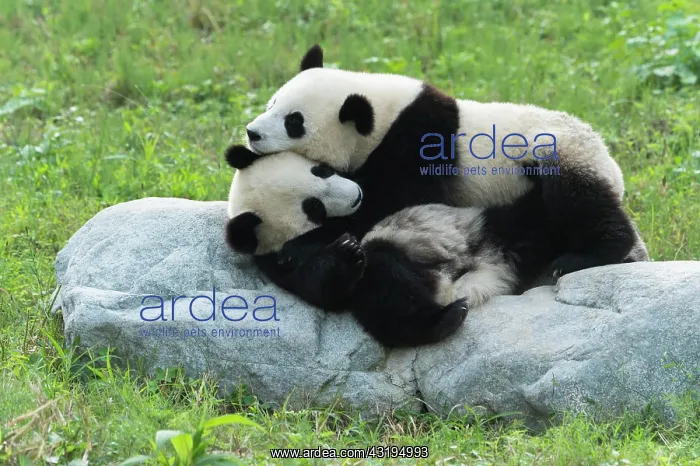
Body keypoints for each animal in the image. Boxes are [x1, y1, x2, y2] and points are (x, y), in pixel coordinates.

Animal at [225, 145, 584, 348]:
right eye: (313, 207)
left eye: (321, 169)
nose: (354, 195)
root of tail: (483, 271)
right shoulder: (282, 263)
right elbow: (320, 288)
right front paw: (346, 251)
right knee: (388, 296)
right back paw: (443, 320)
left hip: (489, 226)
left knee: (533, 219)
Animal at [244, 44, 648, 279]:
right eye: (271, 103)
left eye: (294, 122)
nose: (252, 133)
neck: (384, 115)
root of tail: (613, 167)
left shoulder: (417, 144)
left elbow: (385, 204)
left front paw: (299, 246)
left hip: (558, 156)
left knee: (578, 201)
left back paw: (585, 256)